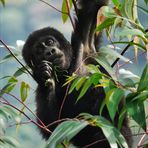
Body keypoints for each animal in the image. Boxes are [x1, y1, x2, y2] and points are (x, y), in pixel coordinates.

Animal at [22, 0, 132, 147]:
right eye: (39, 51)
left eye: (50, 42)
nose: (49, 51)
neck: (67, 71)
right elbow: (52, 126)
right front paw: (43, 76)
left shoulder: (83, 41)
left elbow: (91, 8)